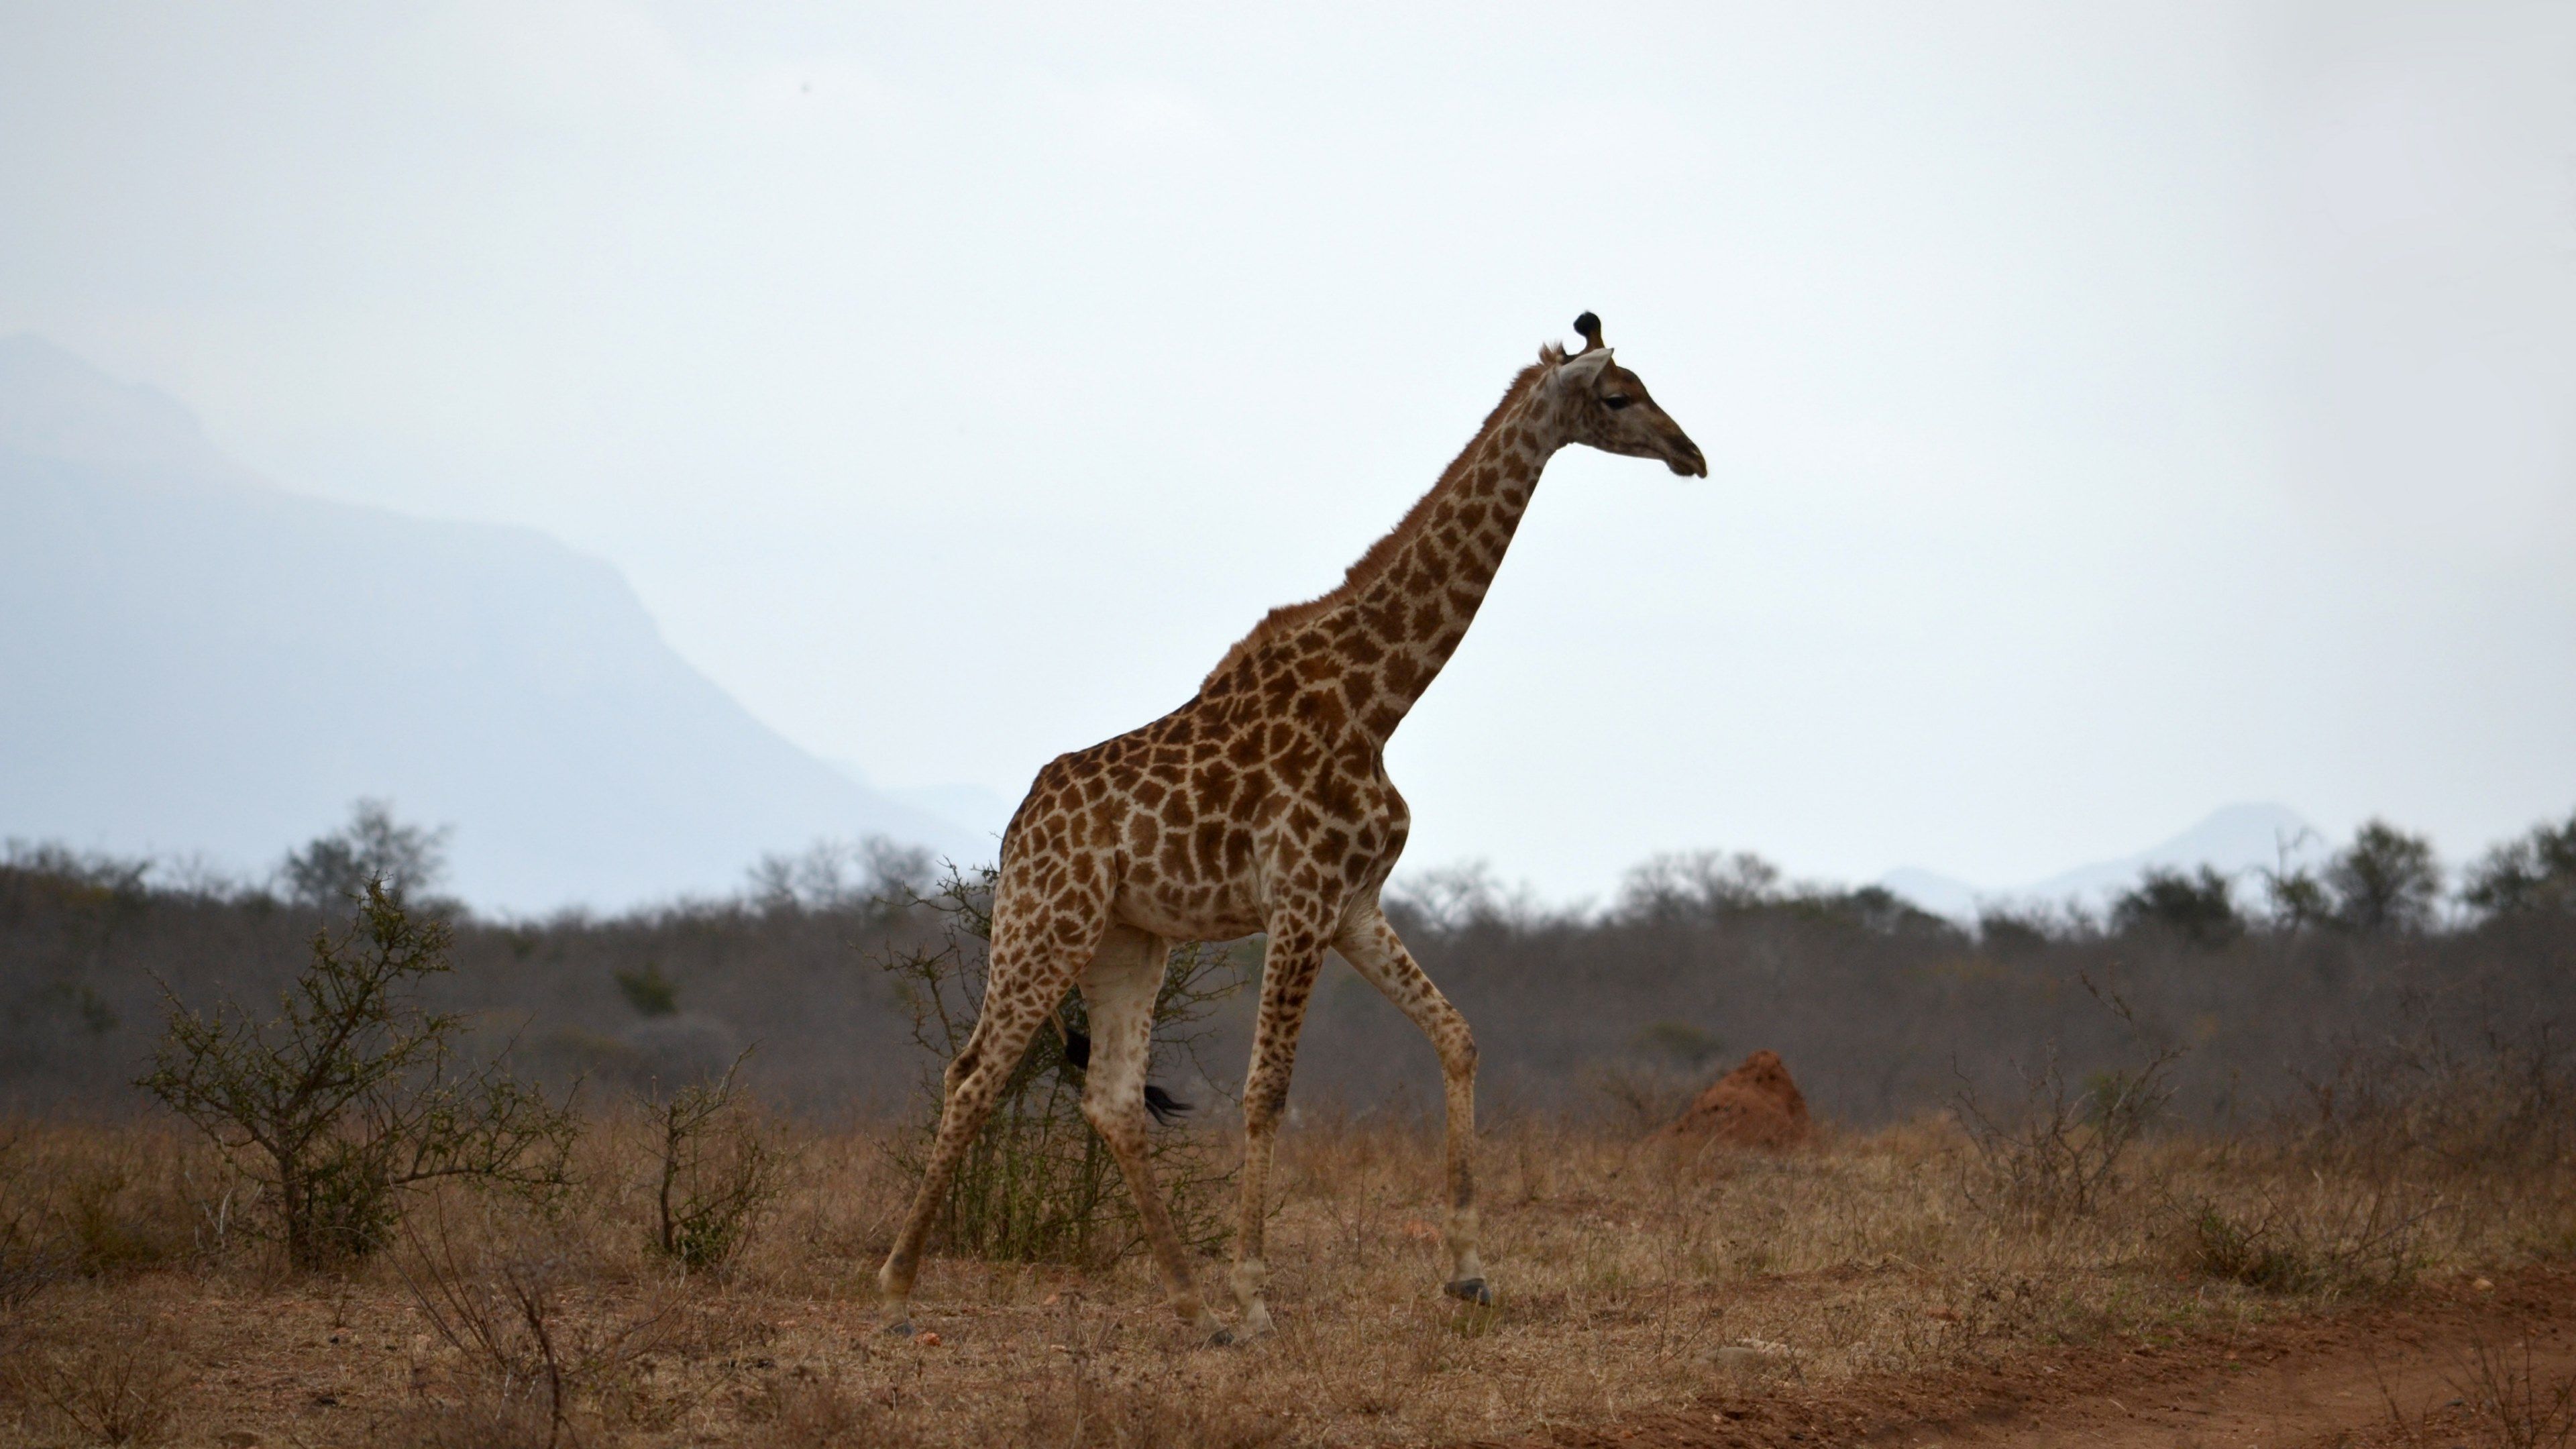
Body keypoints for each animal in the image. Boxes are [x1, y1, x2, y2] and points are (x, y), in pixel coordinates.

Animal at [877, 312, 1706, 1342]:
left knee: (1110, 1100)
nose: (1692, 454)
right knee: (973, 1075)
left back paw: (1189, 1305)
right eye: (1620, 396)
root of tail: (1015, 829)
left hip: (1126, 941)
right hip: (1045, 924)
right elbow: (1266, 1092)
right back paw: (900, 1291)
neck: (1377, 701)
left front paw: (1469, 1274)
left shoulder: (1353, 904)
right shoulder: (1303, 900)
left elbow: (1458, 1035)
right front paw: (1258, 1299)